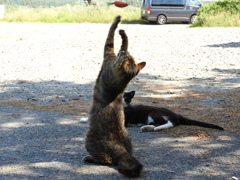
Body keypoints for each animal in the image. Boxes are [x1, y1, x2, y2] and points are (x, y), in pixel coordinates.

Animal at [83, 14, 145, 178]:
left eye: (128, 58)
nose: (126, 55)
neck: (120, 85)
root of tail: (120, 148)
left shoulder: (108, 53)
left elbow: (110, 36)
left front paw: (117, 23)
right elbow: (124, 43)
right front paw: (123, 33)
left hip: (90, 140)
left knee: (107, 159)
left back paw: (90, 158)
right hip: (128, 138)